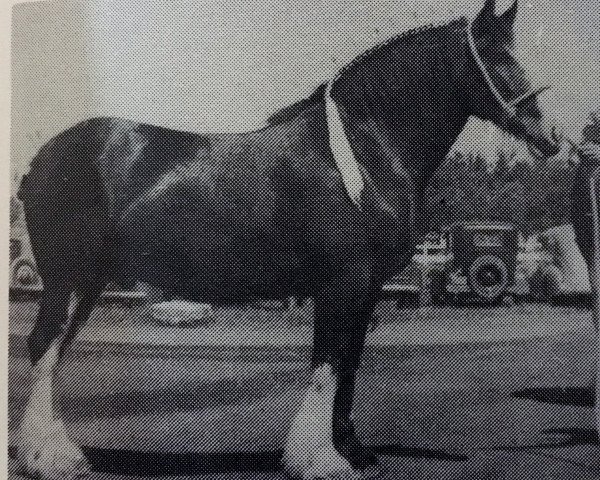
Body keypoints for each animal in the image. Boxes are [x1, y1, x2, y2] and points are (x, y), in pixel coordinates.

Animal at [16, 1, 564, 478]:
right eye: (497, 58)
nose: (551, 137)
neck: (361, 151)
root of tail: (41, 160)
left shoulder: (366, 289)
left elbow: (348, 364)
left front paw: (350, 449)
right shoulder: (342, 282)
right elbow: (327, 363)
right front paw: (317, 459)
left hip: (86, 283)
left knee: (54, 350)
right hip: (67, 279)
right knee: (43, 345)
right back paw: (45, 458)